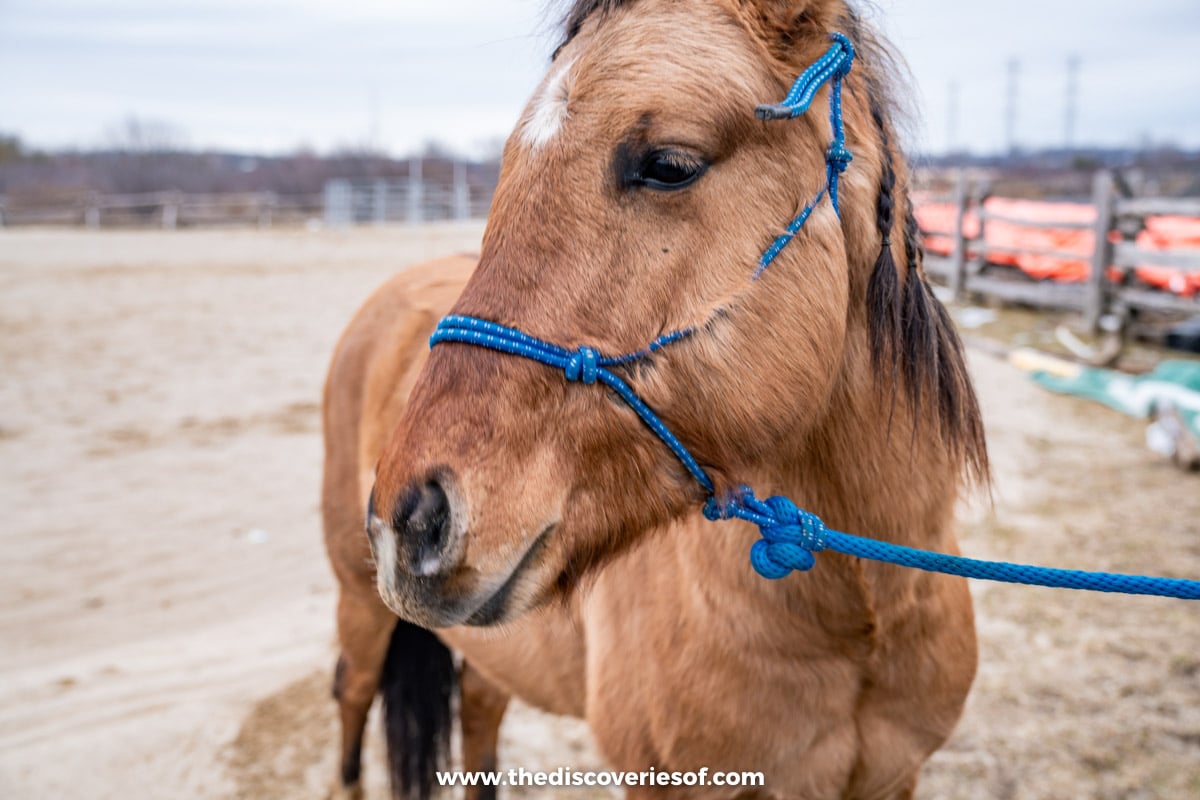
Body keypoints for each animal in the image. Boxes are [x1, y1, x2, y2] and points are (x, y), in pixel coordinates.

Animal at [321, 1, 984, 800]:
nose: (411, 518)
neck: (861, 616)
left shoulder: (894, 779)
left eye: (667, 165)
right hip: (358, 603)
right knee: (353, 696)